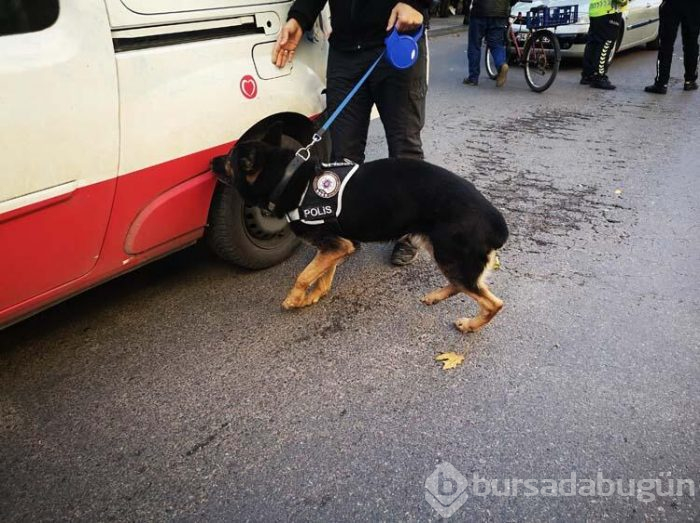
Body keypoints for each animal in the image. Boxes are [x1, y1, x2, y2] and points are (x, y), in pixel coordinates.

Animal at [224, 124, 508, 332]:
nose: (214, 160)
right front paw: (314, 296)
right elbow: (323, 274)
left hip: (451, 257)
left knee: (493, 303)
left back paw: (470, 325)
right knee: (462, 286)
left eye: (228, 160)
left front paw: (294, 299)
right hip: (440, 250)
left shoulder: (333, 245)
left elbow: (304, 275)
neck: (287, 177)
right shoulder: (337, 246)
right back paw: (435, 296)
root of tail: (495, 218)